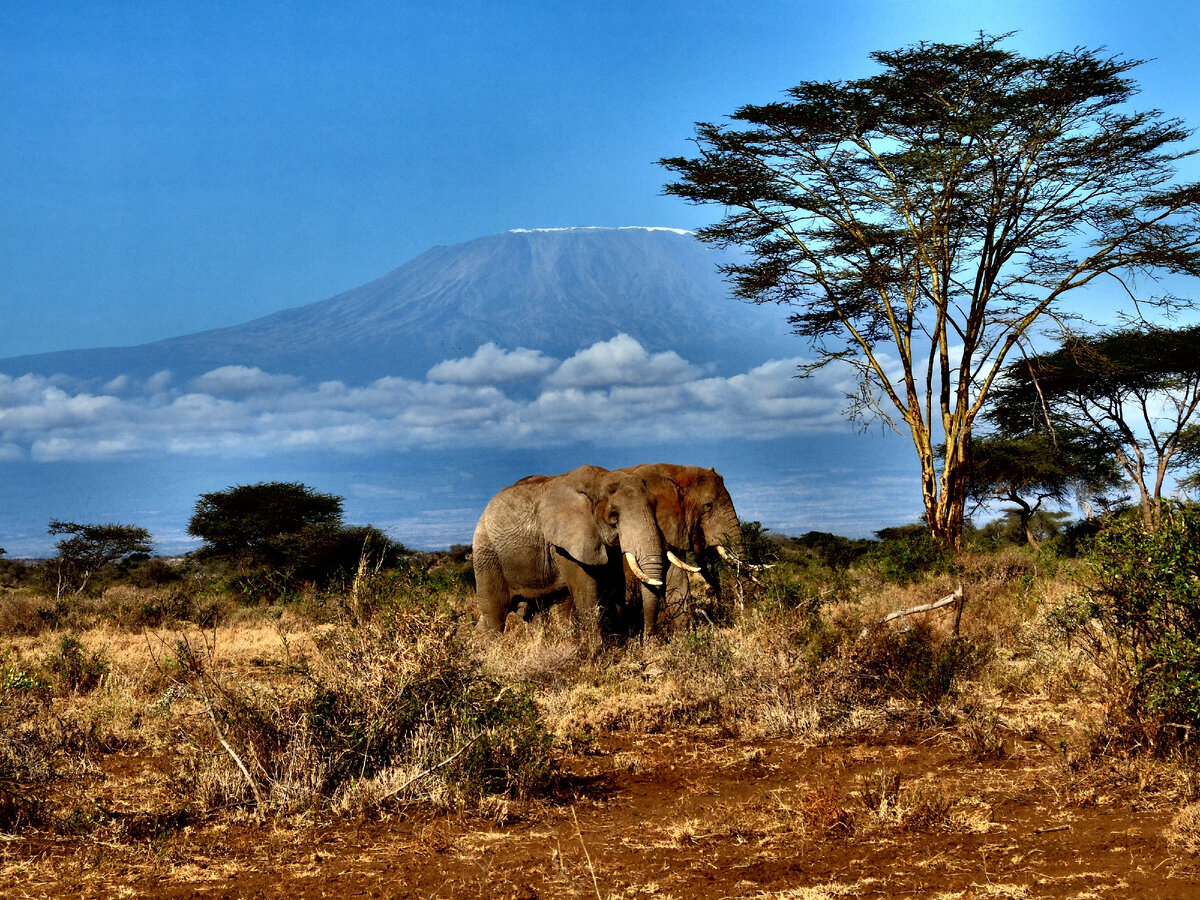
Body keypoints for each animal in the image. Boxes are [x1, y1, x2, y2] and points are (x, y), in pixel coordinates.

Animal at [470, 465, 667, 648]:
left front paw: (618, 643)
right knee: (494, 612)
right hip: (487, 555)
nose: (648, 639)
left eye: (655, 505)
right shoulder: (564, 545)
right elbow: (586, 590)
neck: (599, 479)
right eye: (614, 516)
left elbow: (615, 584)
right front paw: (597, 649)